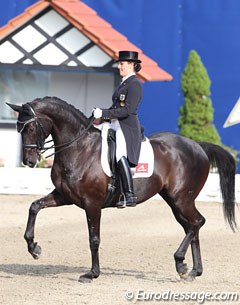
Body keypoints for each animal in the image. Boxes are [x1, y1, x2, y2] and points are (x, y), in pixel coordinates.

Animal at [6, 96, 237, 282]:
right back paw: (191, 270)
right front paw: (34, 248)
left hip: (182, 199)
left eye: (31, 128)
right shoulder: (65, 196)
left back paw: (180, 261)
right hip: (175, 201)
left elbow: (94, 239)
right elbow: (34, 206)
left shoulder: (92, 203)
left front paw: (92, 274)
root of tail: (198, 146)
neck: (79, 149)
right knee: (192, 227)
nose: (29, 161)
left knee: (197, 223)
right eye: (18, 128)